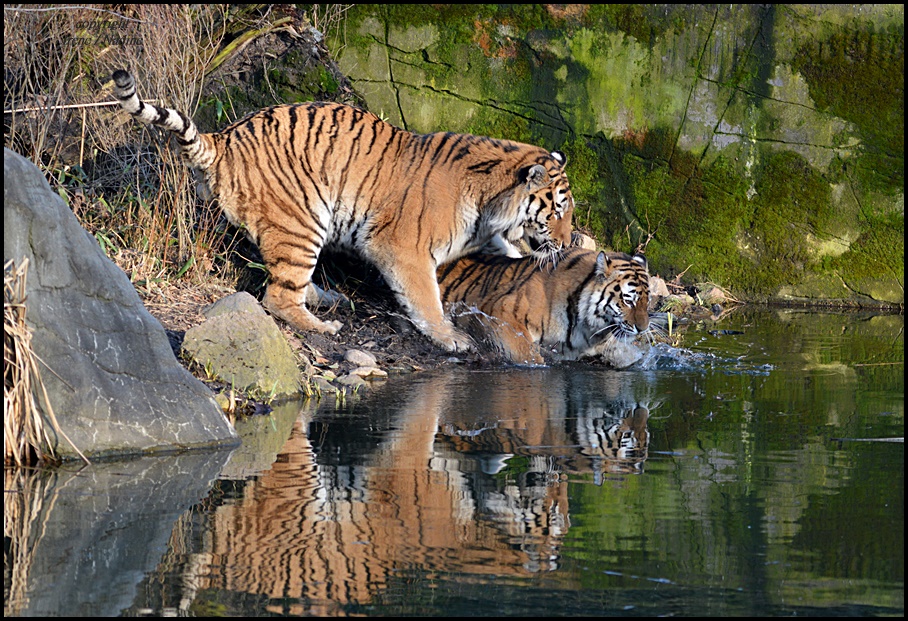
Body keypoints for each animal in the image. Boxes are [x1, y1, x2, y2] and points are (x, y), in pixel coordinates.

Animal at [111, 69, 576, 352]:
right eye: (556, 210)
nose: (568, 237)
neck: (488, 200)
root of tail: (224, 137)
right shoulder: (403, 248)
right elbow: (426, 298)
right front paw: (451, 337)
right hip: (303, 221)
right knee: (278, 296)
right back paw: (323, 326)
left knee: (287, 280)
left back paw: (327, 298)